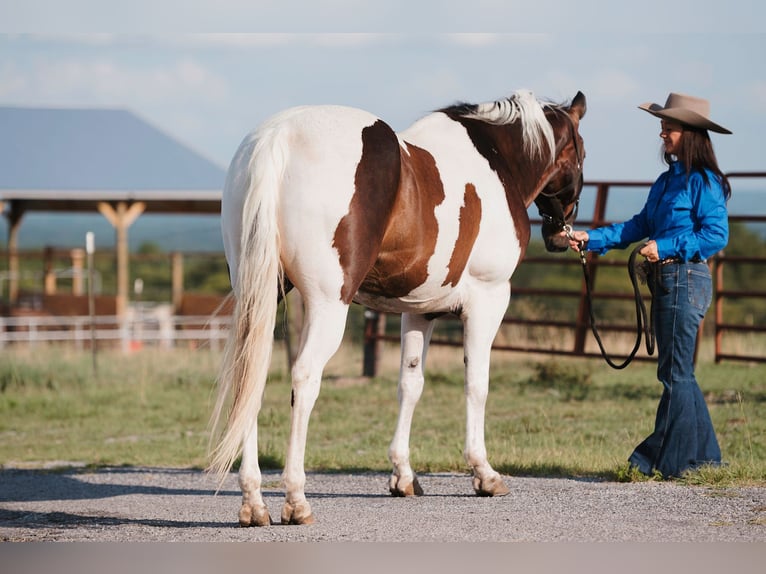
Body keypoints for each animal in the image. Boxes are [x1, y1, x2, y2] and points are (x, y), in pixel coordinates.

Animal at [210, 89, 588, 528]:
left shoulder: (418, 311)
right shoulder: (489, 299)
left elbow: (410, 385)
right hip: (327, 305)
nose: (562, 234)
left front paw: (403, 476)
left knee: (249, 379)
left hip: (259, 298)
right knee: (304, 380)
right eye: (581, 152)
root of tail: (278, 138)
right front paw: (484, 473)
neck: (495, 158)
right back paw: (296, 498)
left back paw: (254, 502)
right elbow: (477, 385)